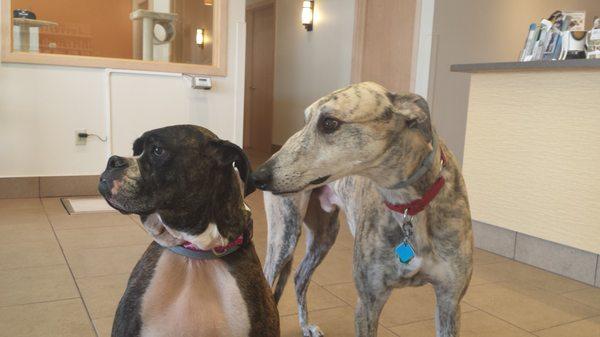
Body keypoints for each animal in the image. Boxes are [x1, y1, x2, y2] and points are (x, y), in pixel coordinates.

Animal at [252, 82, 474, 336]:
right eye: (305, 121)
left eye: (329, 123)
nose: (257, 177)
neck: (409, 207)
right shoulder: (368, 302)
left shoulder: (450, 301)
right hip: (284, 237)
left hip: (325, 235)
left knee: (300, 276)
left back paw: (306, 326)